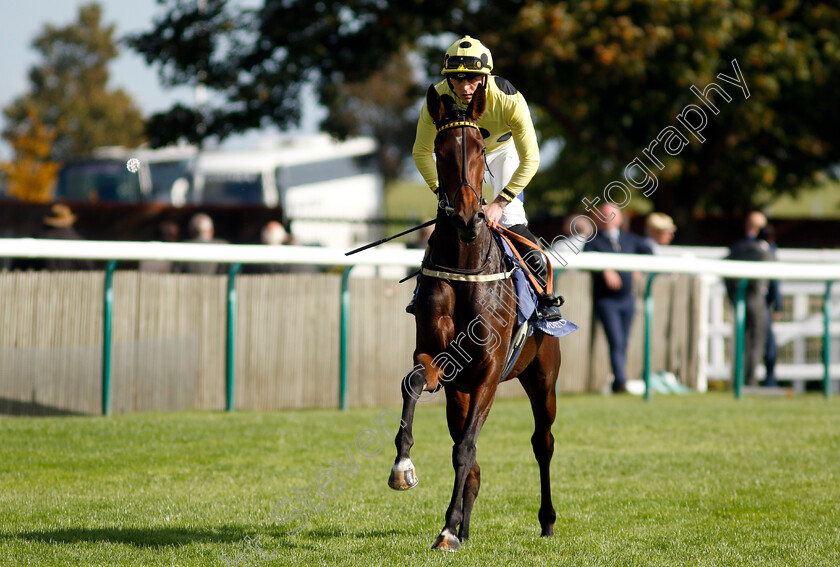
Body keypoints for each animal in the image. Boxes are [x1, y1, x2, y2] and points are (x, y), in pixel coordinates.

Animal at [388, 83, 564, 552]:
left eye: (481, 147)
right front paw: (403, 467)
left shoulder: (488, 369)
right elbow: (412, 383)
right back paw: (465, 528)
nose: (469, 217)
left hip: (542, 378)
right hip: (459, 392)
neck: (466, 263)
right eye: (441, 149)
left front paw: (447, 528)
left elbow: (465, 449)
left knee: (542, 443)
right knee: (475, 461)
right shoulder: (437, 357)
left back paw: (546, 520)